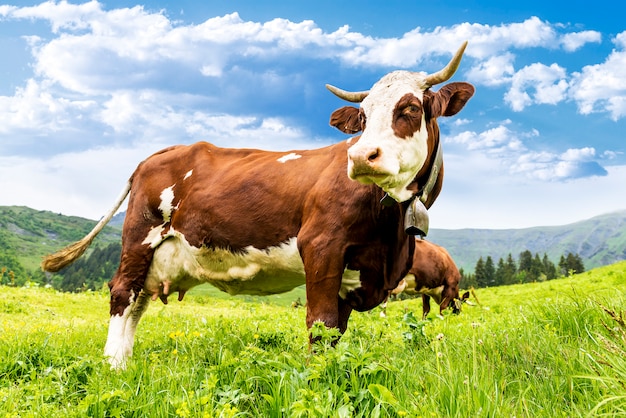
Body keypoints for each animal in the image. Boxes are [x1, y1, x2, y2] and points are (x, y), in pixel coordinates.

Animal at [41, 43, 470, 370]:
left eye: (410, 109)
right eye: (363, 118)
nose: (362, 156)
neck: (392, 233)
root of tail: (163, 152)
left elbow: (337, 331)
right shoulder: (321, 246)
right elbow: (321, 323)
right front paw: (319, 380)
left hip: (158, 254)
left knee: (139, 302)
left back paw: (126, 363)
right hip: (140, 236)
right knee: (122, 294)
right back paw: (114, 364)